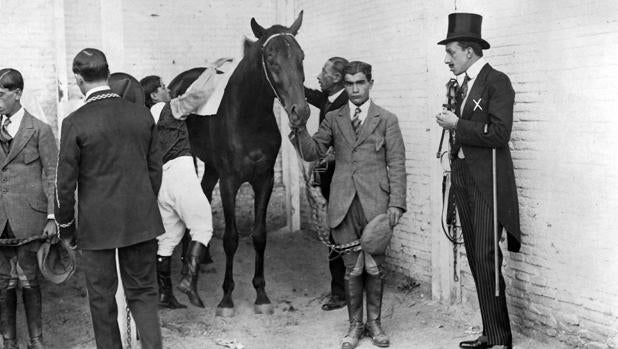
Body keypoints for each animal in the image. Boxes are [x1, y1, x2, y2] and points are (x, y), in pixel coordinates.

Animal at [167, 11, 306, 316]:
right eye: (270, 57)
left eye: (301, 56)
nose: (300, 111)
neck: (248, 117)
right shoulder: (230, 181)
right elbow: (231, 238)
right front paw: (227, 298)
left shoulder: (264, 180)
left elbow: (259, 235)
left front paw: (261, 294)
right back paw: (186, 261)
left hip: (212, 167)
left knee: (205, 193)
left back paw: (204, 257)